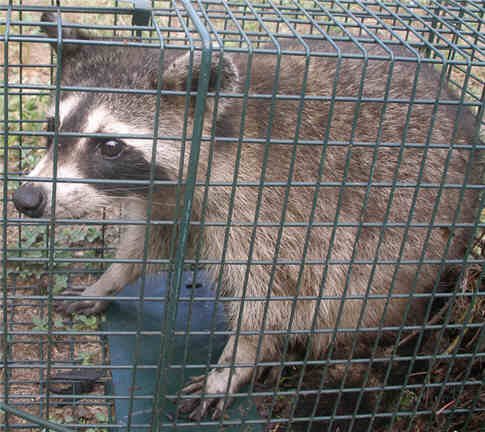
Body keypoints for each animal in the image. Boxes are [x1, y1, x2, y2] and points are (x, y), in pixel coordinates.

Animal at [13, 11, 482, 420]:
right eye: (51, 129)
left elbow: (275, 293)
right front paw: (112, 278)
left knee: (350, 299)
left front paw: (239, 359)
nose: (26, 198)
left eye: (109, 146)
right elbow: (152, 241)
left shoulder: (275, 206)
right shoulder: (172, 196)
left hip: (411, 247)